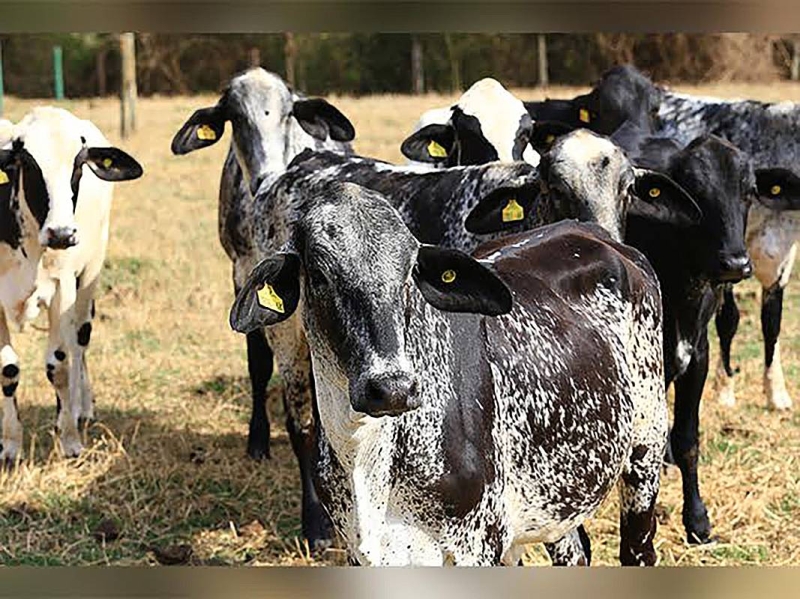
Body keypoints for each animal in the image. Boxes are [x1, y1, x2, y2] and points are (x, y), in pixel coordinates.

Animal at [0, 106, 142, 462]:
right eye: (27, 164)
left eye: (79, 165)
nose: (62, 234)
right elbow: (7, 369)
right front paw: (10, 444)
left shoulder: (62, 287)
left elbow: (60, 363)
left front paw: (69, 440)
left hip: (89, 273)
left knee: (80, 340)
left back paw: (80, 408)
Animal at [170, 67, 356, 549]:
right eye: (234, 117)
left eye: (288, 113)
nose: (262, 177)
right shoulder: (246, 279)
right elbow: (264, 374)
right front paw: (315, 521)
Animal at [229, 178, 668, 566]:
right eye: (319, 276)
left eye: (409, 271)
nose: (392, 388)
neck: (366, 455)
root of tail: (596, 234)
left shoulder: (478, 544)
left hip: (645, 454)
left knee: (639, 551)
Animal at [659, 90, 800, 410]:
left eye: (750, 190)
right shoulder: (729, 259)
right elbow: (729, 320)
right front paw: (725, 390)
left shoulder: (781, 259)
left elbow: (772, 322)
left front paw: (777, 392)